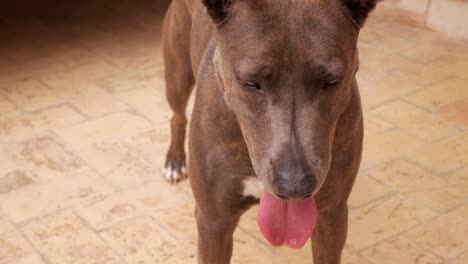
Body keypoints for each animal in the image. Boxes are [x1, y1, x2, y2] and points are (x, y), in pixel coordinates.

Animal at [161, 1, 376, 262]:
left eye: (332, 82)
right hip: (177, 74)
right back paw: (174, 161)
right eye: (251, 83)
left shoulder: (331, 216)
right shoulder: (213, 222)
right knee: (177, 116)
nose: (295, 188)